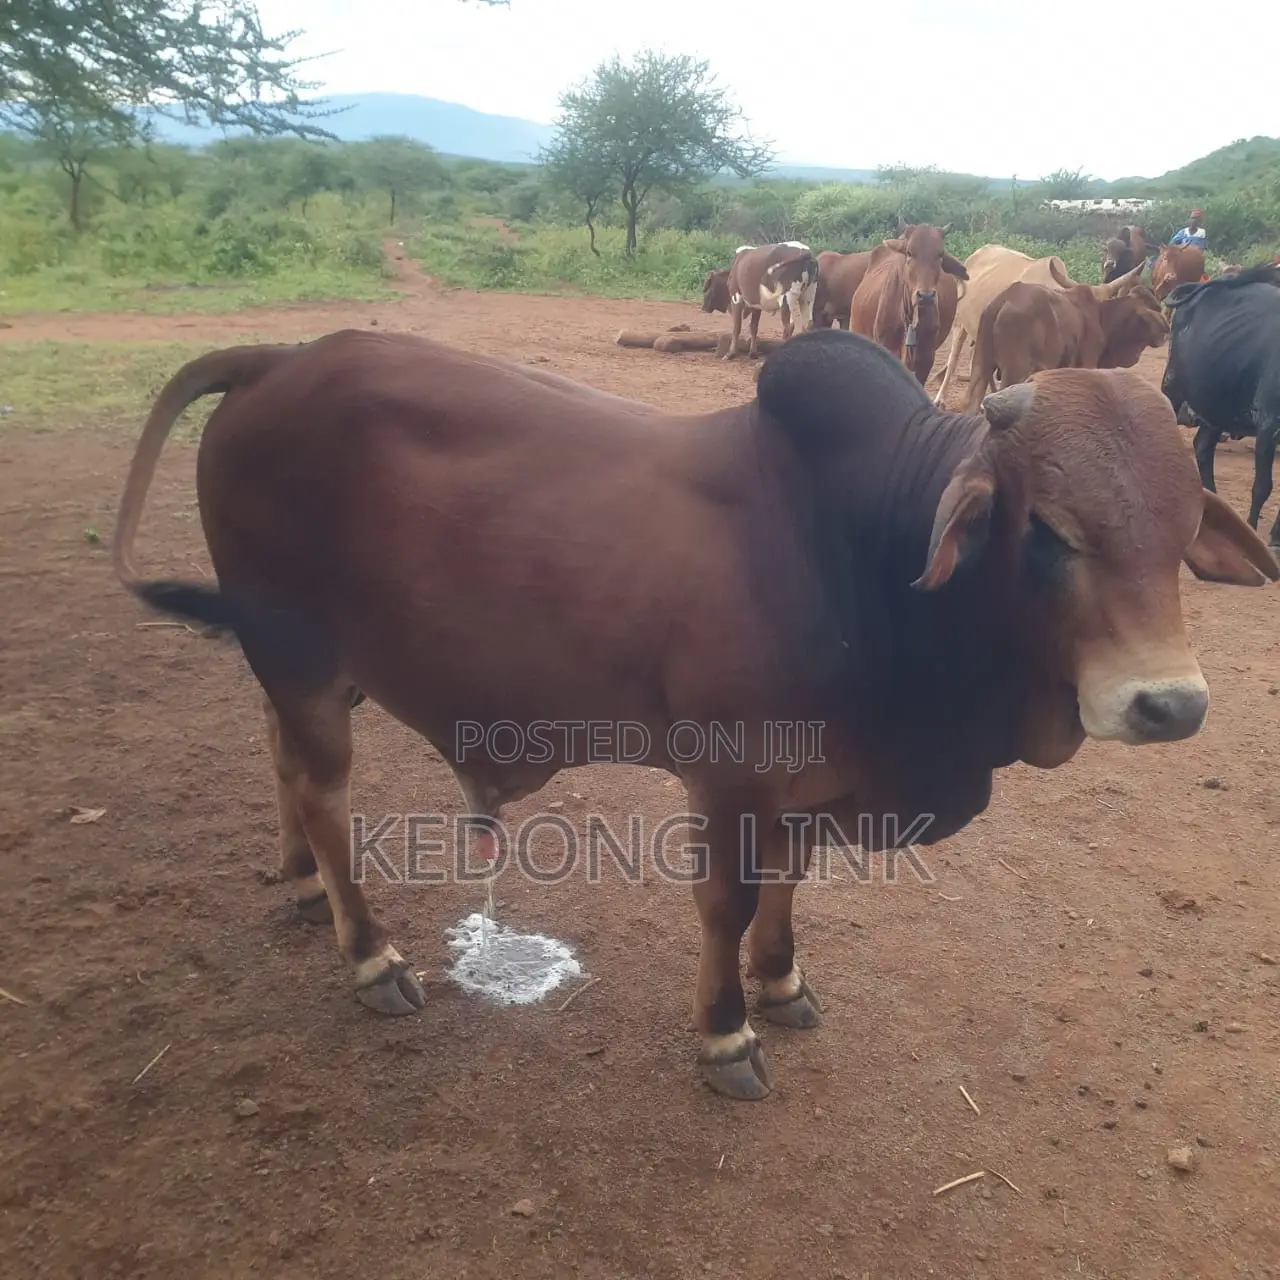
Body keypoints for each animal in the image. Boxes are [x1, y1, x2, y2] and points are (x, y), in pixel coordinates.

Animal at [112, 328, 1278, 1102]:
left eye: (1182, 527)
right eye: (1049, 532)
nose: (1168, 702)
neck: (861, 550)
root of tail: (280, 356)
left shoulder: (811, 778)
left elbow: (791, 881)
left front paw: (782, 981)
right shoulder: (729, 773)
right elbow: (727, 897)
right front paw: (725, 1034)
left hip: (311, 665)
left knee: (281, 758)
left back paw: (305, 884)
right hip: (300, 652)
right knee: (322, 787)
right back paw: (370, 956)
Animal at [964, 260, 1163, 412]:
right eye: (1153, 308)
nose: (1165, 332)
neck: (1101, 316)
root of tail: (1004, 300)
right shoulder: (1087, 365)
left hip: (981, 364)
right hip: (1015, 370)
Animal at [1161, 261, 1280, 549]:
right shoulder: (1268, 427)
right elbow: (1263, 486)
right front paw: (1253, 531)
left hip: (1216, 405)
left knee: (1203, 447)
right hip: (1173, 385)